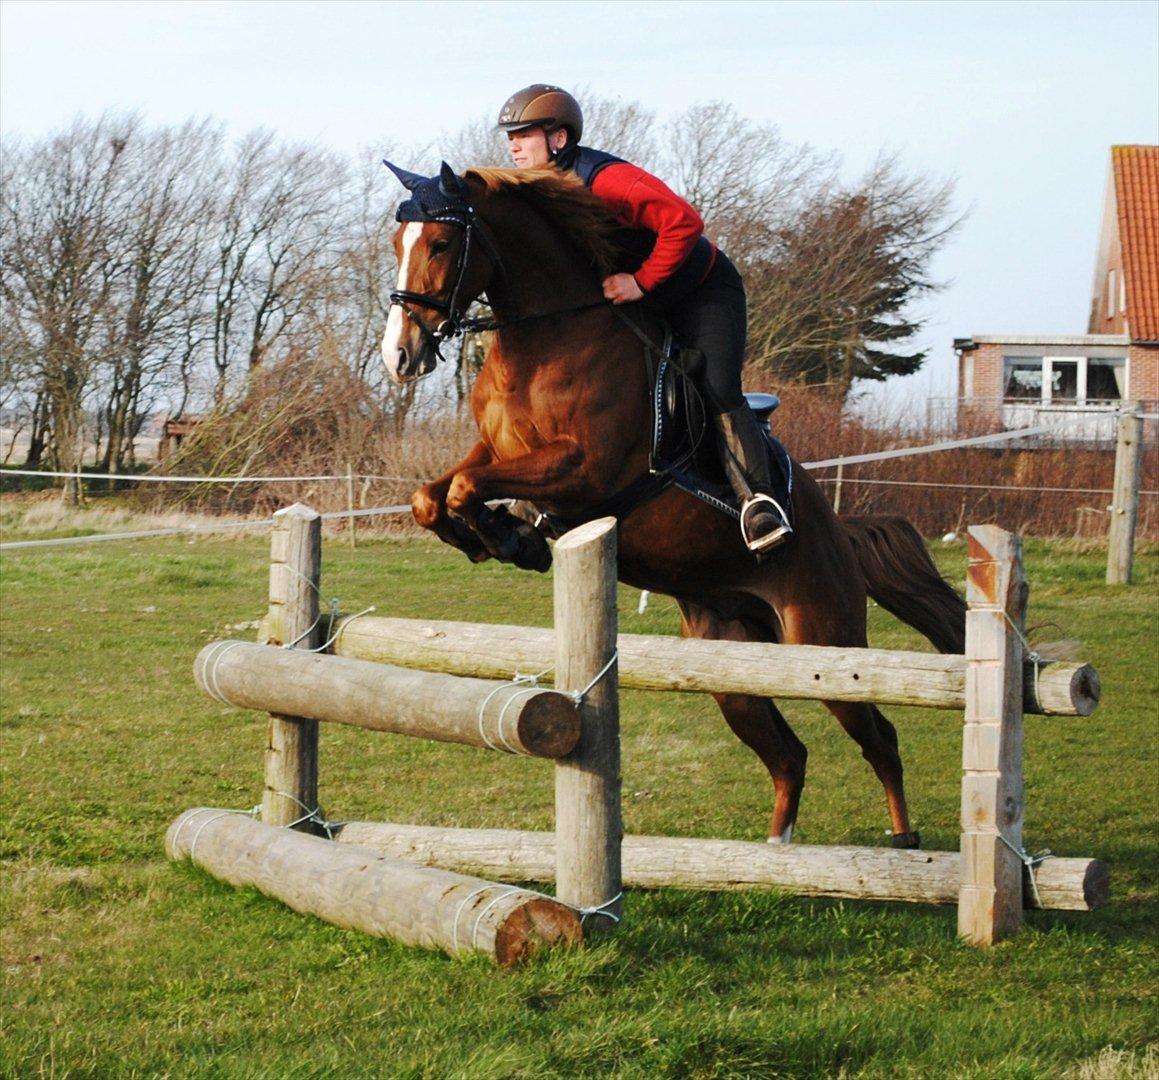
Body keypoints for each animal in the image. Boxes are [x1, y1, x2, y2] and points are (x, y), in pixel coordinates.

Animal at [380, 161, 966, 847]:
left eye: (442, 243)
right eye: (397, 243)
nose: (399, 355)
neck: (547, 333)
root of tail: (840, 533)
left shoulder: (585, 468)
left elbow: (467, 488)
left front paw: (502, 535)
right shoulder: (496, 450)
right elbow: (434, 494)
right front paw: (502, 537)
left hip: (822, 642)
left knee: (879, 737)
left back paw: (903, 840)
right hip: (731, 662)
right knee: (788, 754)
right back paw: (776, 851)